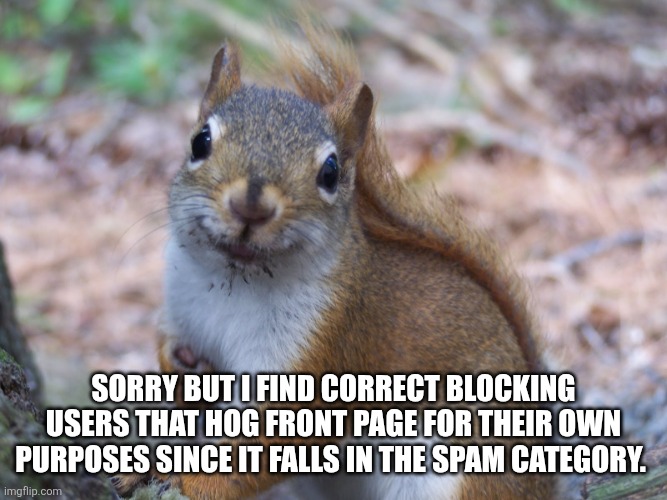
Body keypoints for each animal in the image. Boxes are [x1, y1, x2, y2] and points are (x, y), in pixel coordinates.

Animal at [116, 24, 555, 500]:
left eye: (330, 171)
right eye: (200, 141)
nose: (250, 206)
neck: (235, 280)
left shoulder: (327, 347)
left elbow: (270, 446)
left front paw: (191, 480)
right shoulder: (182, 303)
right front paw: (181, 371)